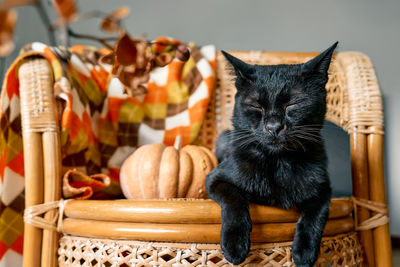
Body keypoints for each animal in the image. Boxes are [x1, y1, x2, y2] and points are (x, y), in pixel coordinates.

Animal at [205, 43, 336, 266]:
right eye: (256, 106)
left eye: (292, 104)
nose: (274, 127)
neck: (279, 162)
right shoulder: (216, 179)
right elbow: (235, 200)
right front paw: (235, 245)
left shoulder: (323, 189)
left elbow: (315, 214)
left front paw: (304, 252)